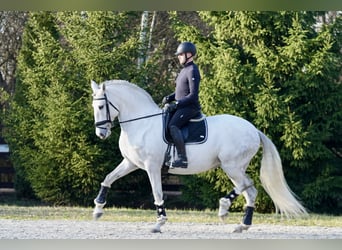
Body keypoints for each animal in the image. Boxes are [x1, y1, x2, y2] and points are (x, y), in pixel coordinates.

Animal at [90, 79, 308, 232]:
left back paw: (225, 208)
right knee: (249, 190)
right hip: (235, 168)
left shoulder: (152, 167)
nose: (101, 134)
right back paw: (241, 224)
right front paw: (98, 209)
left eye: (101, 107)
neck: (141, 123)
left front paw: (160, 222)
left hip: (232, 166)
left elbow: (158, 193)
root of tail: (253, 129)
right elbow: (108, 178)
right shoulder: (130, 163)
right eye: (93, 107)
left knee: (249, 186)